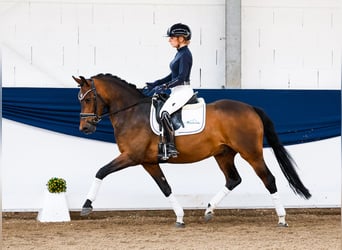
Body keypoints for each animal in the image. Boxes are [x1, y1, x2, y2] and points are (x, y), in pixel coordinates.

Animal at [73, 73, 312, 228]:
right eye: (80, 100)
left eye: (90, 99)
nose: (85, 128)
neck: (131, 113)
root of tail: (250, 108)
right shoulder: (148, 161)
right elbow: (165, 187)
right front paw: (179, 217)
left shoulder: (131, 156)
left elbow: (101, 171)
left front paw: (86, 206)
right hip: (223, 154)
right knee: (233, 179)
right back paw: (209, 210)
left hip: (251, 153)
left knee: (268, 179)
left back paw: (282, 219)